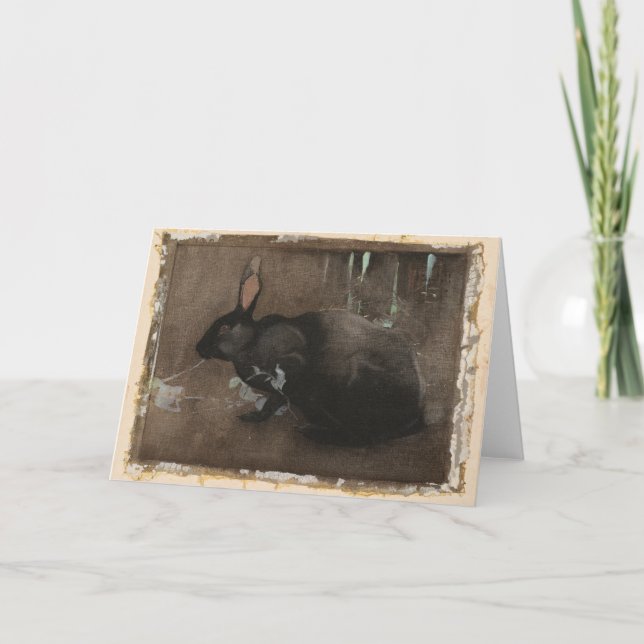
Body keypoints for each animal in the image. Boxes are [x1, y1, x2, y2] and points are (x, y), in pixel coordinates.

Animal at [196, 256, 427, 445]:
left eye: (224, 328)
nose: (198, 349)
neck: (252, 342)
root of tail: (417, 410)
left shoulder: (288, 373)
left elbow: (273, 402)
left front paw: (252, 417)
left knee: (362, 437)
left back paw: (310, 431)